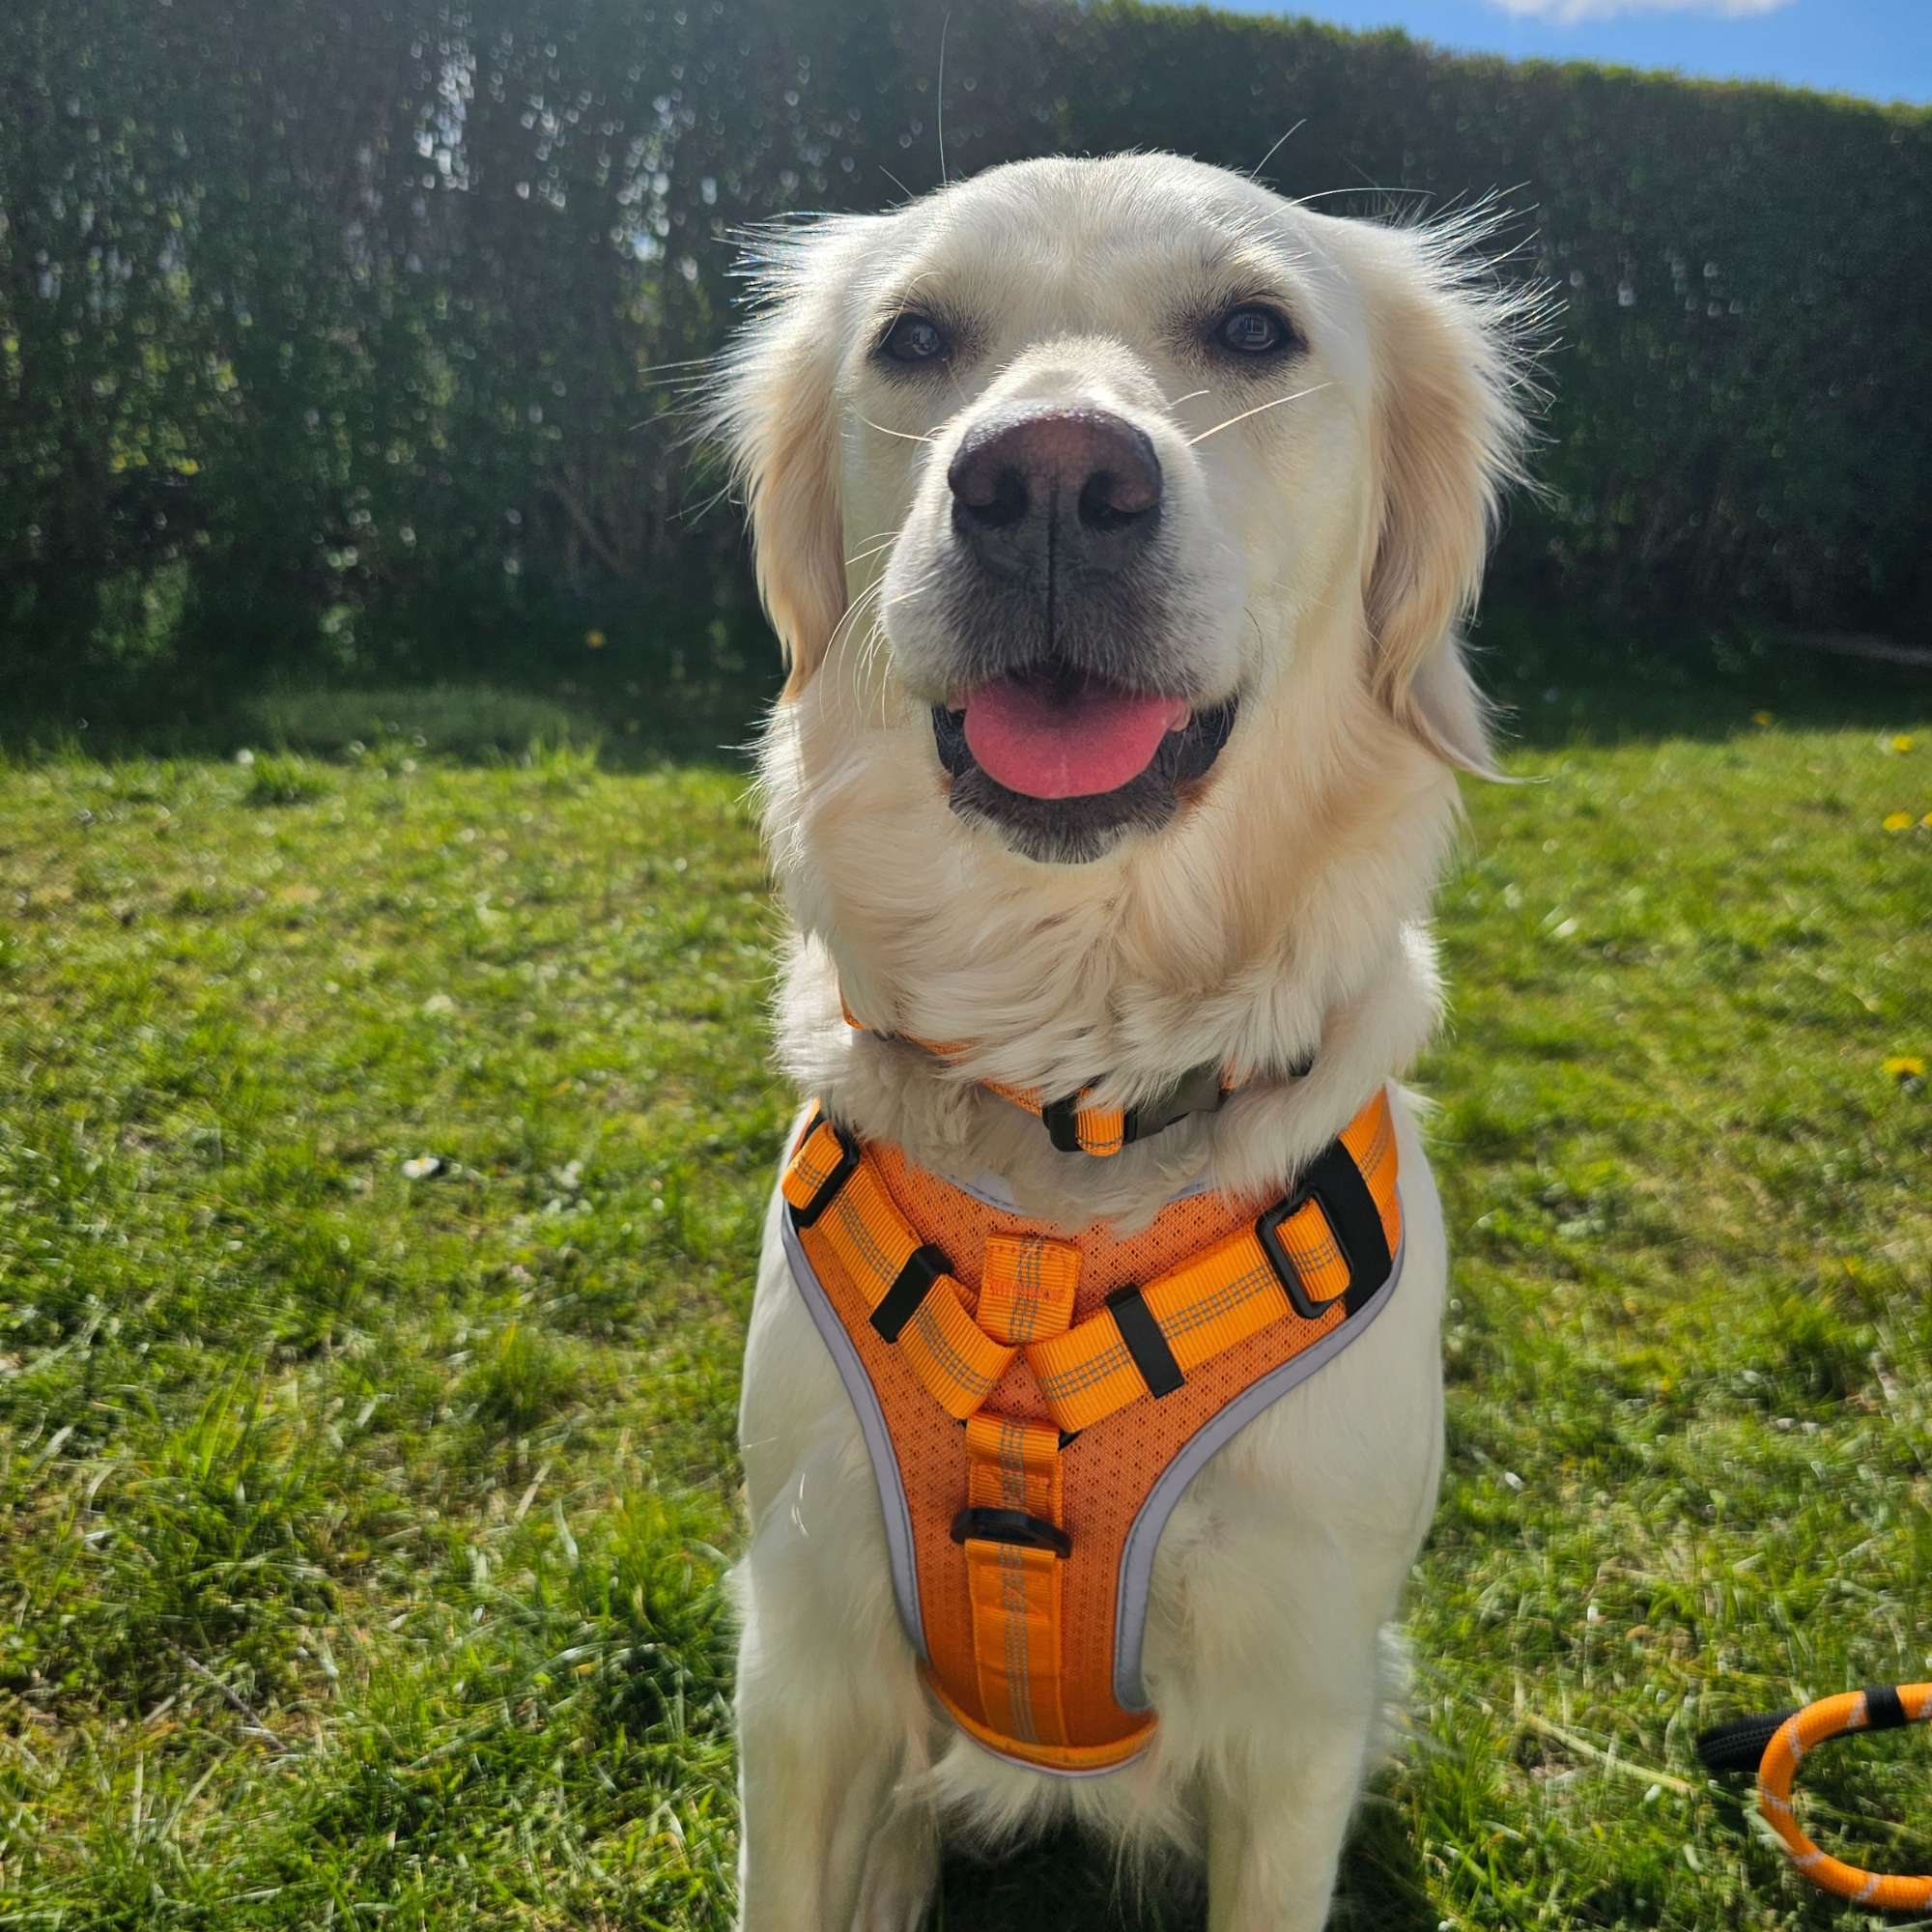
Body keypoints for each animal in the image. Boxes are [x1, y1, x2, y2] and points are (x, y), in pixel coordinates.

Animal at [711, 155, 1538, 1932]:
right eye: (915, 337)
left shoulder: (1298, 1710)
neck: (1070, 1102)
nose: (1046, 482)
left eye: (1253, 328)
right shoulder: (799, 1657)